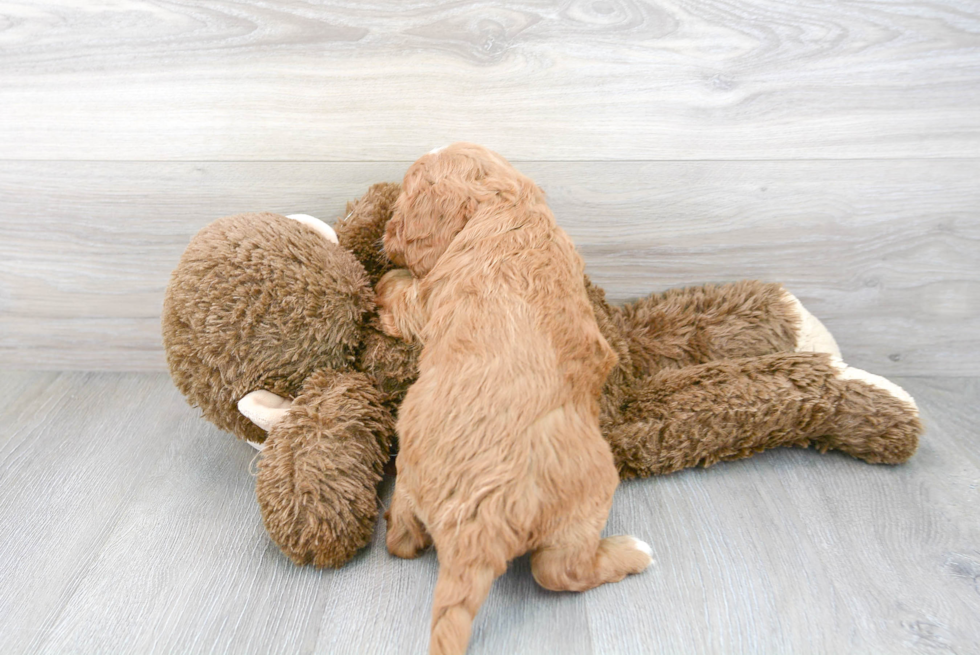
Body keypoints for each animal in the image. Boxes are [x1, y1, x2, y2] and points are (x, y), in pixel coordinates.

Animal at [378, 145, 656, 655]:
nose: (385, 237)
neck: (509, 207)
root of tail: (478, 524)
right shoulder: (426, 302)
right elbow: (401, 295)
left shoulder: (428, 298)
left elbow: (400, 293)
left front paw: (384, 279)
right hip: (592, 491)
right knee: (558, 571)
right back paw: (632, 552)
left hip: (410, 471)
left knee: (403, 537)